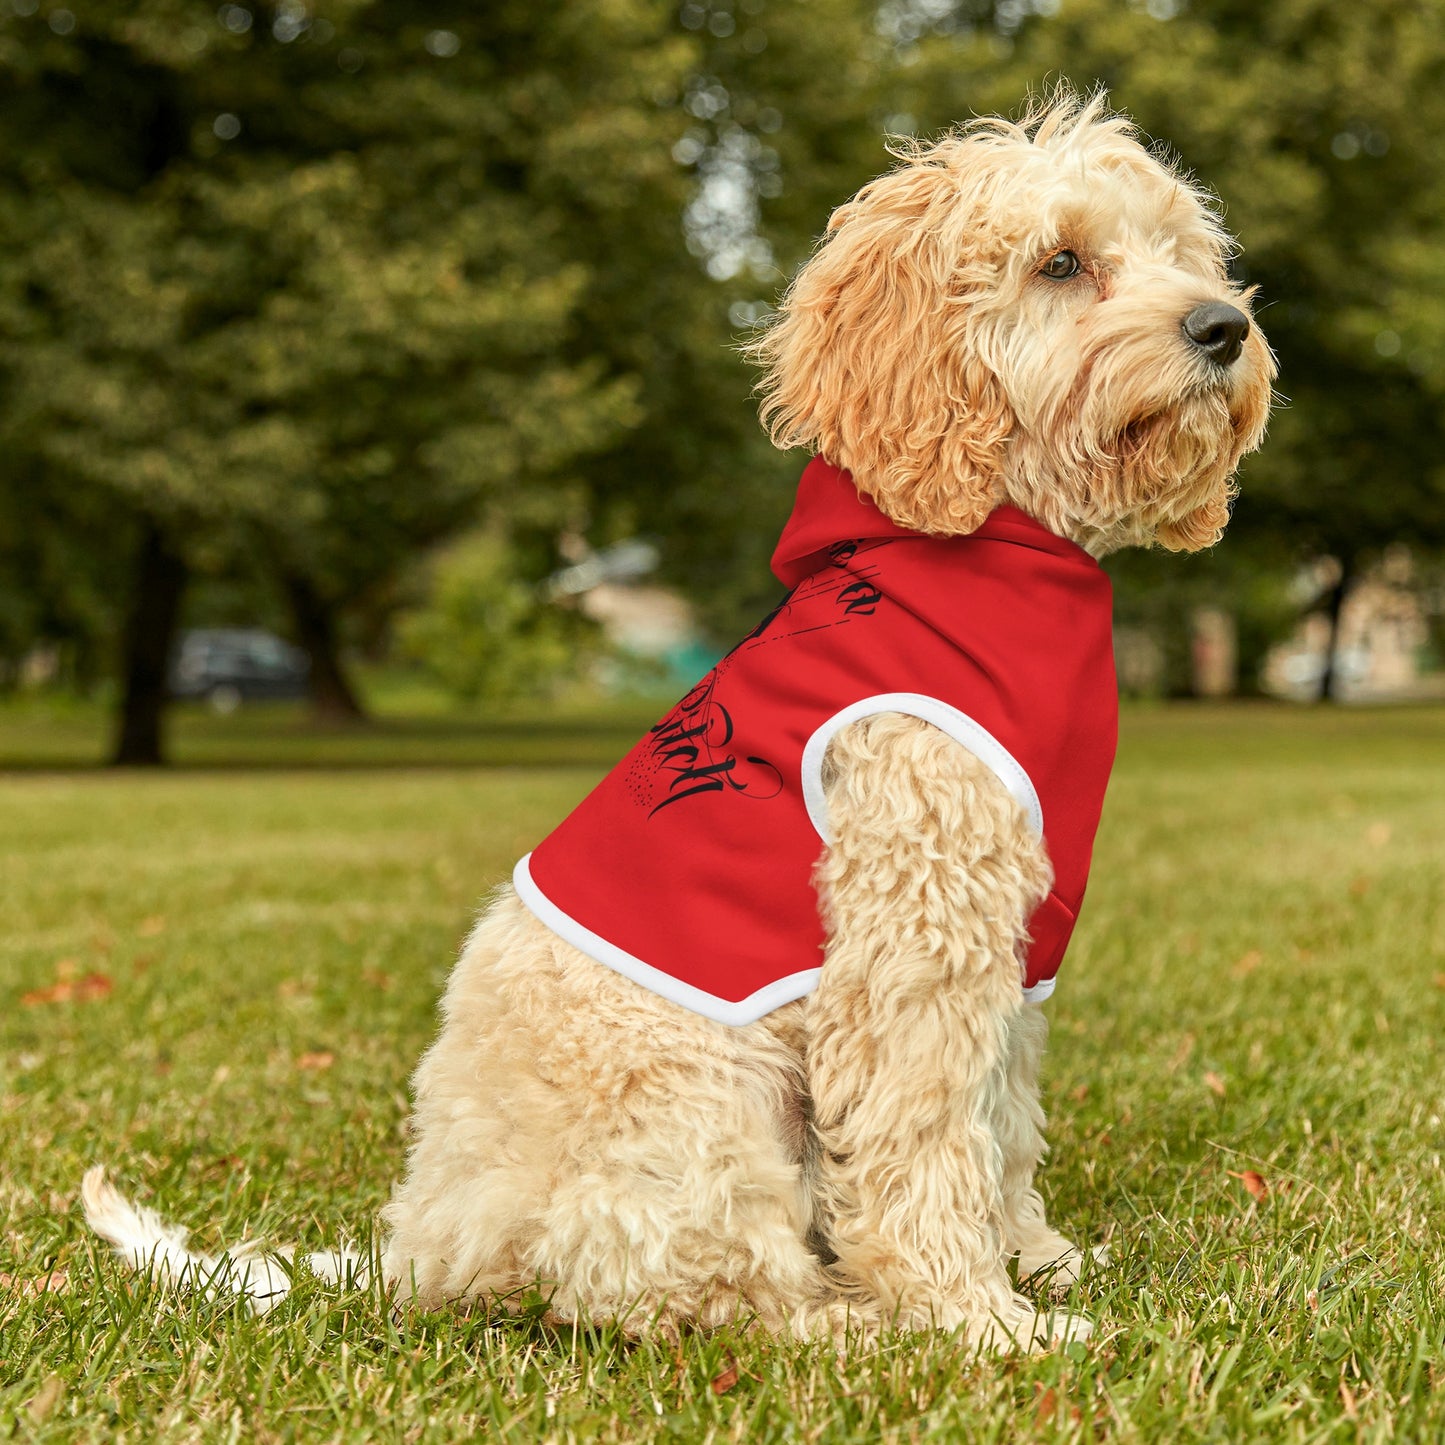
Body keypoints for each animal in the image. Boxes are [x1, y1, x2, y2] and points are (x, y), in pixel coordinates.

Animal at [84, 93, 1271, 1352]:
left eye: (1180, 252)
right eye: (1059, 262)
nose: (1222, 327)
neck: (988, 549)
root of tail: (424, 1246)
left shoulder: (1011, 946)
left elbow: (999, 1123)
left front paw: (1035, 1260)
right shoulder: (913, 936)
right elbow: (924, 1140)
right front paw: (977, 1319)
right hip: (705, 1104)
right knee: (700, 1291)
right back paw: (852, 1323)